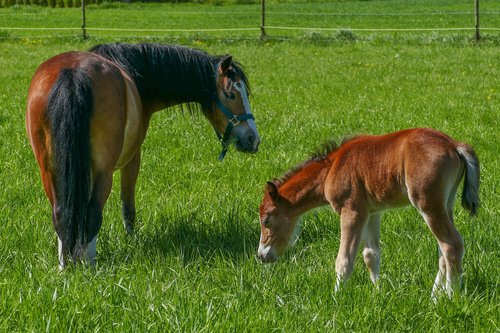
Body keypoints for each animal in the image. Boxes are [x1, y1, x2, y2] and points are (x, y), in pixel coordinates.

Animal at [26, 42, 262, 268]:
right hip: (103, 171)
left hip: (49, 170)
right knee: (92, 213)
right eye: (231, 94)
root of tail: (72, 73)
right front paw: (132, 242)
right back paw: (89, 267)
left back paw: (65, 268)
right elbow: (127, 209)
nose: (253, 139)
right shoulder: (132, 158)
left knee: (60, 213)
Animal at [258, 127, 480, 298]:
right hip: (445, 204)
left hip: (428, 205)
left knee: (451, 244)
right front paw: (378, 293)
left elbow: (344, 259)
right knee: (443, 249)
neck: (331, 169)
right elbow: (371, 255)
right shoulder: (372, 213)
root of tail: (454, 144)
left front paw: (336, 298)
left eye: (266, 219)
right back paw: (434, 297)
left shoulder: (352, 211)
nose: (261, 255)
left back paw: (450, 296)